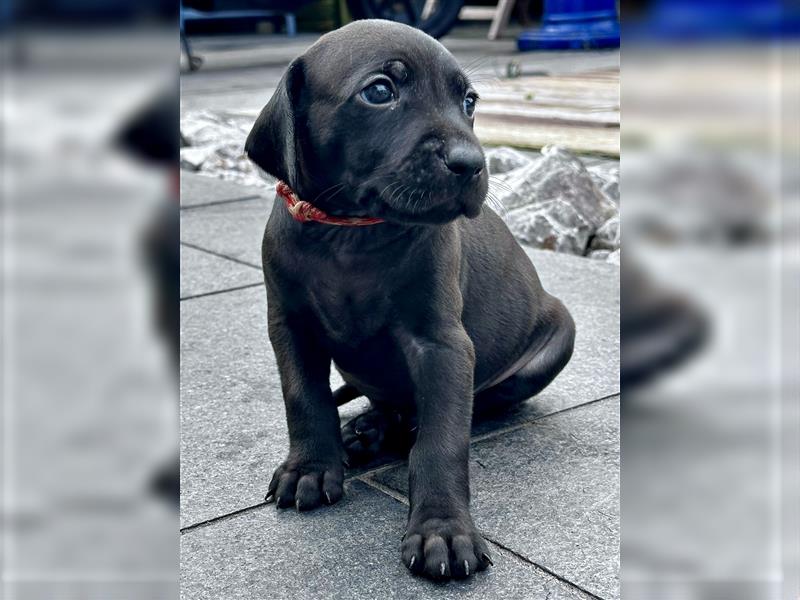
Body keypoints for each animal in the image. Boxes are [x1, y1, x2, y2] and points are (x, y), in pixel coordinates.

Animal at [245, 19, 576, 580]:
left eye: (468, 100)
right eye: (380, 91)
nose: (472, 163)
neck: (349, 235)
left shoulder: (441, 345)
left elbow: (442, 441)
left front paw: (443, 529)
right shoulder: (289, 326)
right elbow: (304, 398)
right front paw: (310, 467)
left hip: (558, 338)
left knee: (464, 407)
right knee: (386, 403)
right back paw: (366, 429)